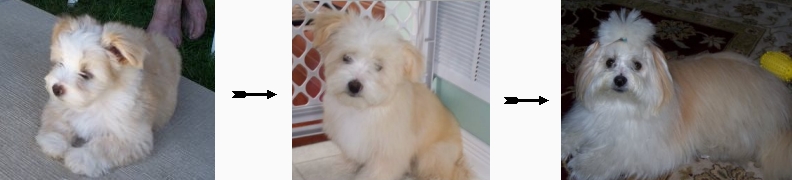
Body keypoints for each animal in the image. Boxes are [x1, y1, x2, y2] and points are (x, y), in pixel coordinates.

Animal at [35, 15, 181, 177]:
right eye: (61, 63)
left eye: (86, 74)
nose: (56, 89)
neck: (97, 100)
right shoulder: (59, 105)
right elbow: (57, 122)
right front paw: (54, 142)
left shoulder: (132, 137)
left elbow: (103, 146)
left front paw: (82, 158)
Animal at [310, 11, 470, 179]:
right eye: (346, 57)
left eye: (378, 66)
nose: (354, 86)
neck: (363, 109)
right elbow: (350, 157)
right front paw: (342, 168)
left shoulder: (388, 154)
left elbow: (377, 173)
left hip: (432, 156)